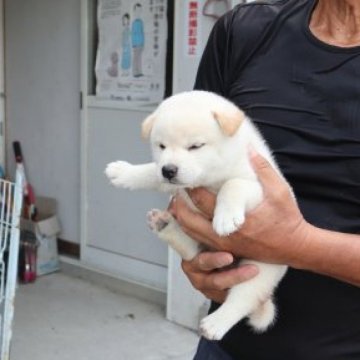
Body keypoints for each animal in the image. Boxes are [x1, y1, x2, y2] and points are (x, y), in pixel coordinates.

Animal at [105, 90, 290, 340]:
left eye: (195, 146)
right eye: (161, 146)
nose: (169, 170)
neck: (208, 179)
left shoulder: (261, 191)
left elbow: (233, 185)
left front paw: (225, 218)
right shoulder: (172, 182)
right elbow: (150, 172)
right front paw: (124, 172)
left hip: (261, 269)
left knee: (243, 297)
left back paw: (216, 323)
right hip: (201, 248)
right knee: (193, 251)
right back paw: (164, 225)